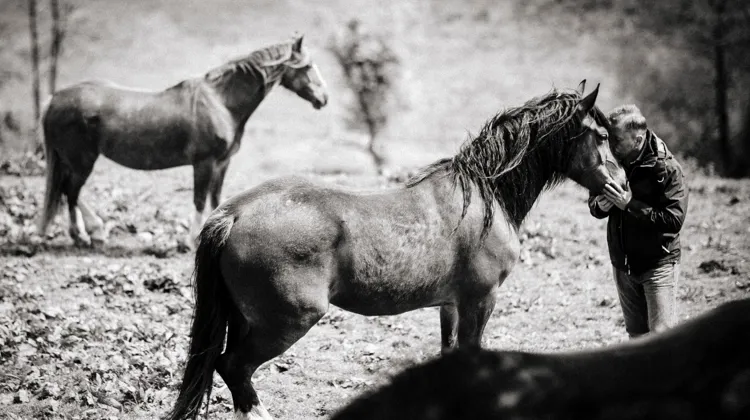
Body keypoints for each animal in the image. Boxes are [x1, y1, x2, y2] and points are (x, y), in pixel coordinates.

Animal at [36, 35, 328, 247]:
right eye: (308, 66)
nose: (324, 98)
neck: (221, 103)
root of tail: (54, 99)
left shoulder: (221, 164)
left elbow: (216, 199)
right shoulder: (204, 163)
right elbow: (199, 201)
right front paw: (190, 241)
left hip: (74, 161)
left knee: (68, 192)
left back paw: (93, 231)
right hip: (82, 160)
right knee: (71, 192)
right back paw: (83, 235)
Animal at [167, 81, 627, 420]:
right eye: (603, 136)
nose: (622, 187)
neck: (485, 196)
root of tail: (235, 213)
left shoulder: (451, 305)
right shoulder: (480, 300)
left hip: (246, 319)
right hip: (286, 322)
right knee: (234, 368)